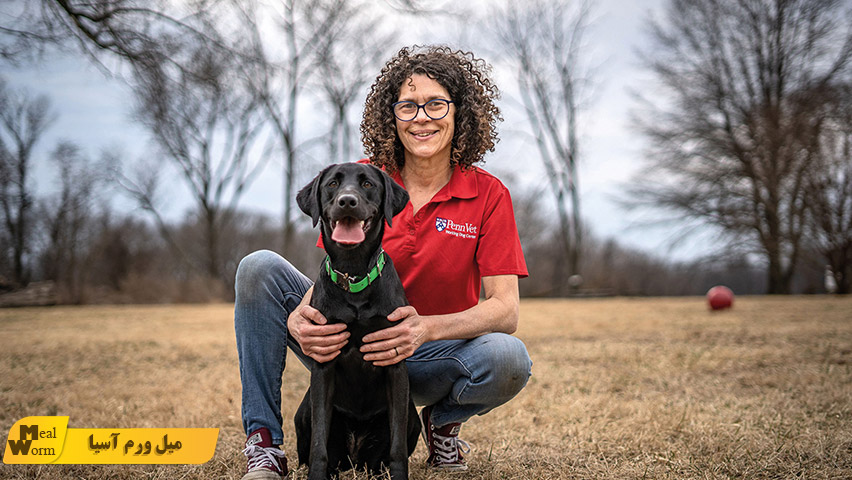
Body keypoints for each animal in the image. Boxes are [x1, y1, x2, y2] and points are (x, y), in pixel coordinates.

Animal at [294, 162, 422, 480]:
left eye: (367, 184)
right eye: (332, 184)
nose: (347, 201)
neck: (354, 277)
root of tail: (354, 458)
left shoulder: (395, 363)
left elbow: (398, 446)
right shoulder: (324, 364)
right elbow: (318, 443)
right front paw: (317, 475)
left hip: (412, 416)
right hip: (303, 410)